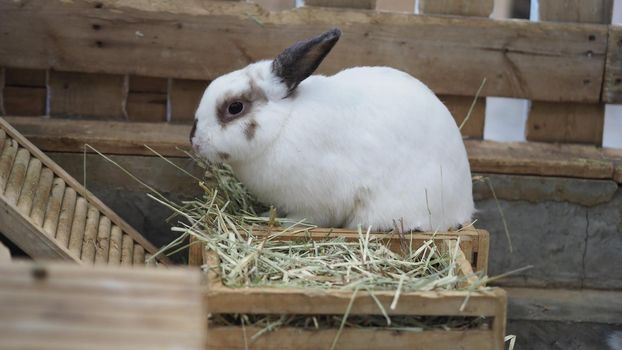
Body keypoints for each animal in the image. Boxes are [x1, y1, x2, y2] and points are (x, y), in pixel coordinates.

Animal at [193, 28, 476, 231]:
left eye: (235, 107)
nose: (195, 142)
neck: (283, 124)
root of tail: (464, 205)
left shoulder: (316, 202)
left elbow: (307, 218)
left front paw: (279, 222)